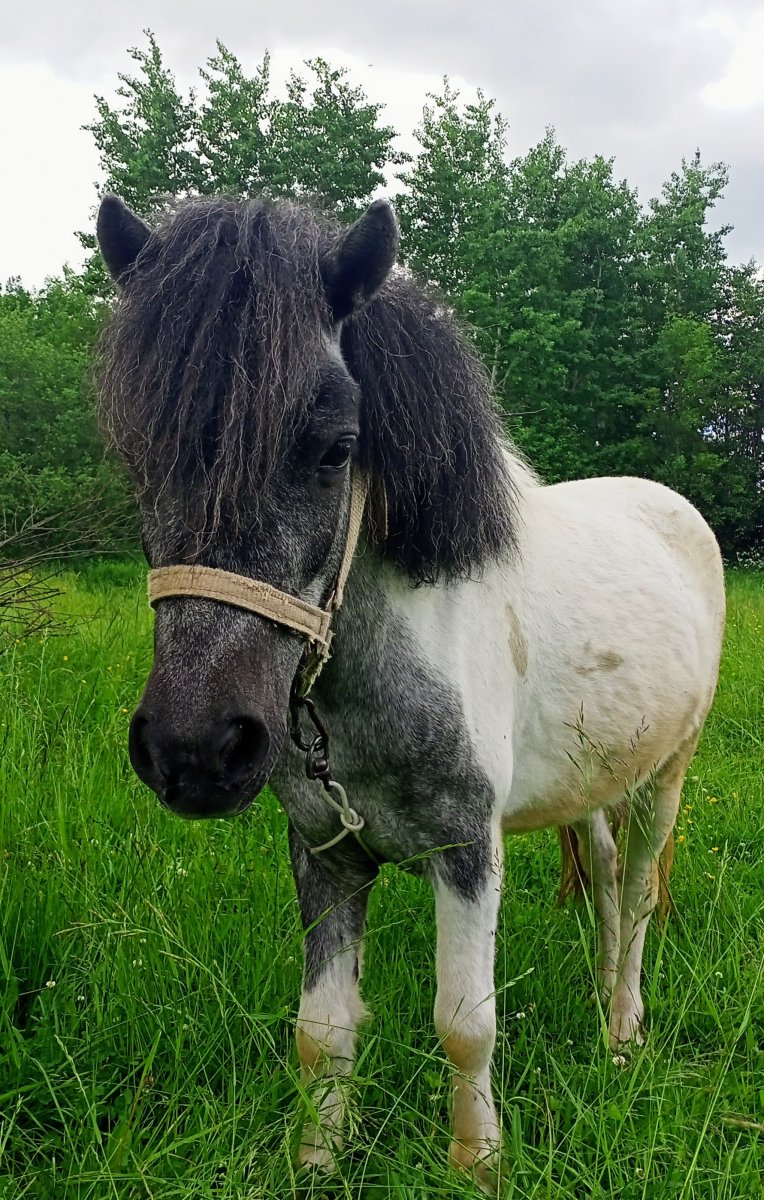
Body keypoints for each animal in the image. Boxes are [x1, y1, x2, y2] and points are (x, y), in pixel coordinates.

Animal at [96, 192, 729, 1185]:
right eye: (136, 456)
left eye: (336, 448)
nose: (194, 751)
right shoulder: (325, 854)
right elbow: (321, 1031)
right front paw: (317, 1163)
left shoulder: (467, 849)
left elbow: (464, 1025)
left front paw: (478, 1166)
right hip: (592, 778)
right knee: (602, 874)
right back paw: (596, 999)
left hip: (668, 774)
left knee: (633, 894)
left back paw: (622, 1032)